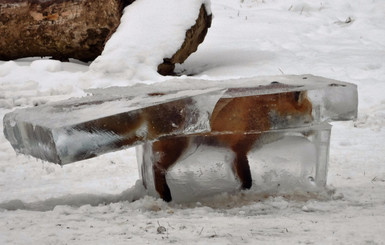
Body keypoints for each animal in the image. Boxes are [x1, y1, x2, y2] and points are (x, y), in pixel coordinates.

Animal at [147, 85, 312, 202]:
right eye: (311, 113)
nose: (312, 131)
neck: (265, 113)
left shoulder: (232, 154)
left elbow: (239, 177)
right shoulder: (240, 149)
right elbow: (247, 180)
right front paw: (243, 192)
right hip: (178, 148)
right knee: (156, 167)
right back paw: (165, 195)